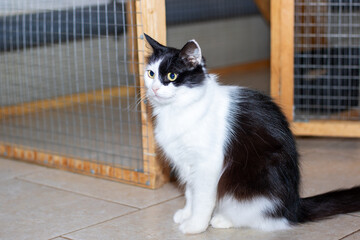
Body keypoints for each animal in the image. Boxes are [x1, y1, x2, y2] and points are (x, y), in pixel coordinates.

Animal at [143, 33, 360, 234]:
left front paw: (196, 225)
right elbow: (190, 193)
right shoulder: (187, 164)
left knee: (263, 219)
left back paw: (223, 219)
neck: (177, 110)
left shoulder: (207, 164)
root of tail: (294, 207)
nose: (154, 88)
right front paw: (187, 214)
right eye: (151, 74)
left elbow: (202, 198)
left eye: (172, 76)